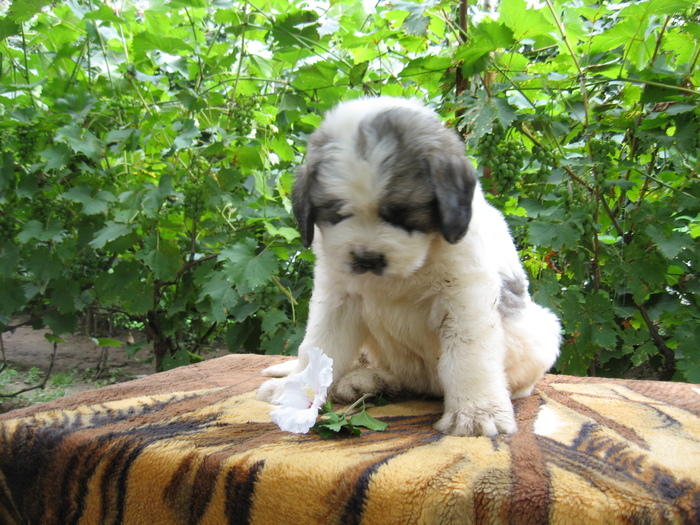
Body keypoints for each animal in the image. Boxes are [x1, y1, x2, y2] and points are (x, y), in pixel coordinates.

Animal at [258, 96, 564, 436]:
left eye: (401, 214)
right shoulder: (338, 297)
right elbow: (319, 345)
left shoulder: (465, 297)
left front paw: (476, 412)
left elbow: (469, 356)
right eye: (338, 214)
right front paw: (293, 390)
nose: (367, 257)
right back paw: (366, 380)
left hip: (544, 330)